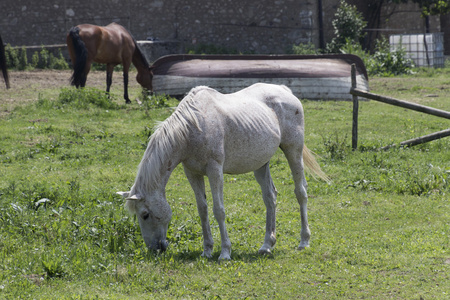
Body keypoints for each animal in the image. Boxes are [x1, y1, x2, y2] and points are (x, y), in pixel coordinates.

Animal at [118, 82, 328, 260]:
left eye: (145, 214)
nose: (155, 249)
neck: (192, 127)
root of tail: (285, 90)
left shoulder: (214, 170)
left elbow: (218, 210)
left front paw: (225, 252)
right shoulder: (192, 173)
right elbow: (202, 210)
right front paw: (207, 250)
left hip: (294, 151)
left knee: (300, 192)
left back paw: (304, 241)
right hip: (261, 164)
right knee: (270, 197)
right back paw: (267, 245)